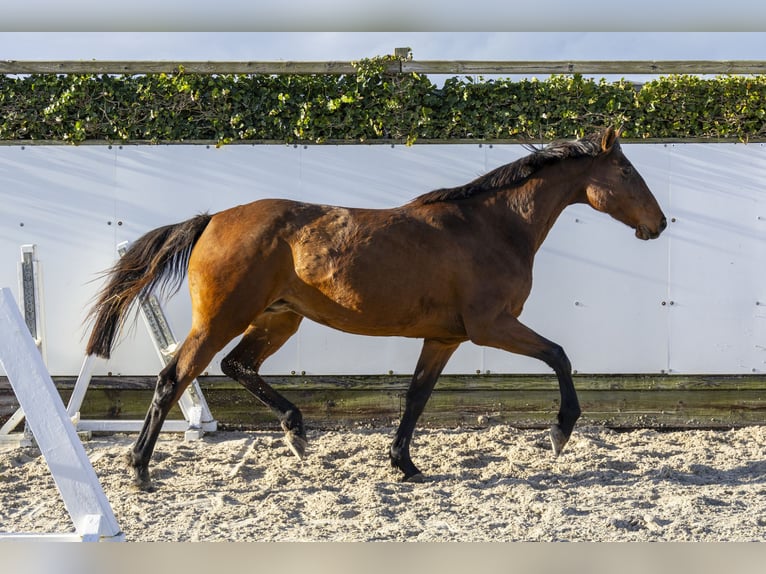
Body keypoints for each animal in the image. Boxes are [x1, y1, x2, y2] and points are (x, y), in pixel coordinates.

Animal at [87, 127, 668, 490]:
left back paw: (296, 433)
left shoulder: (445, 337)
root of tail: (212, 219)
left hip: (278, 317)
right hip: (220, 320)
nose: (660, 224)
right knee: (174, 377)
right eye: (627, 172)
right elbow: (560, 355)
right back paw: (139, 471)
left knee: (238, 365)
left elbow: (416, 397)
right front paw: (560, 432)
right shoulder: (492, 326)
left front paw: (404, 464)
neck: (493, 227)